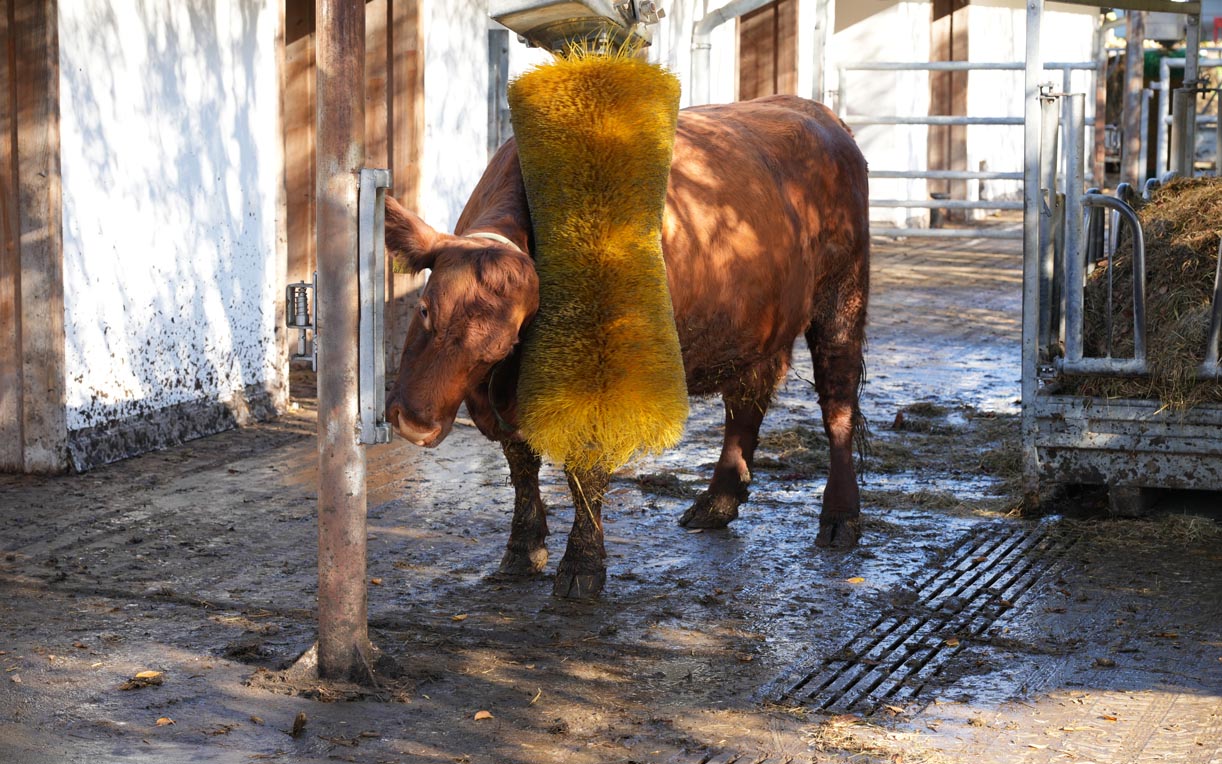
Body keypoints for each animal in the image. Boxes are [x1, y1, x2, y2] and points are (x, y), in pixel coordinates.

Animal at [383, 95, 869, 599]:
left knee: (837, 402)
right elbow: (521, 464)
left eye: (502, 343)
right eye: (424, 309)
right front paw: (523, 549)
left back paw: (840, 517)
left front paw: (581, 564)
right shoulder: (497, 399)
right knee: (745, 404)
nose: (415, 423)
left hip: (842, 298)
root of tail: (818, 114)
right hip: (756, 329)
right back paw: (717, 502)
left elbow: (584, 470)